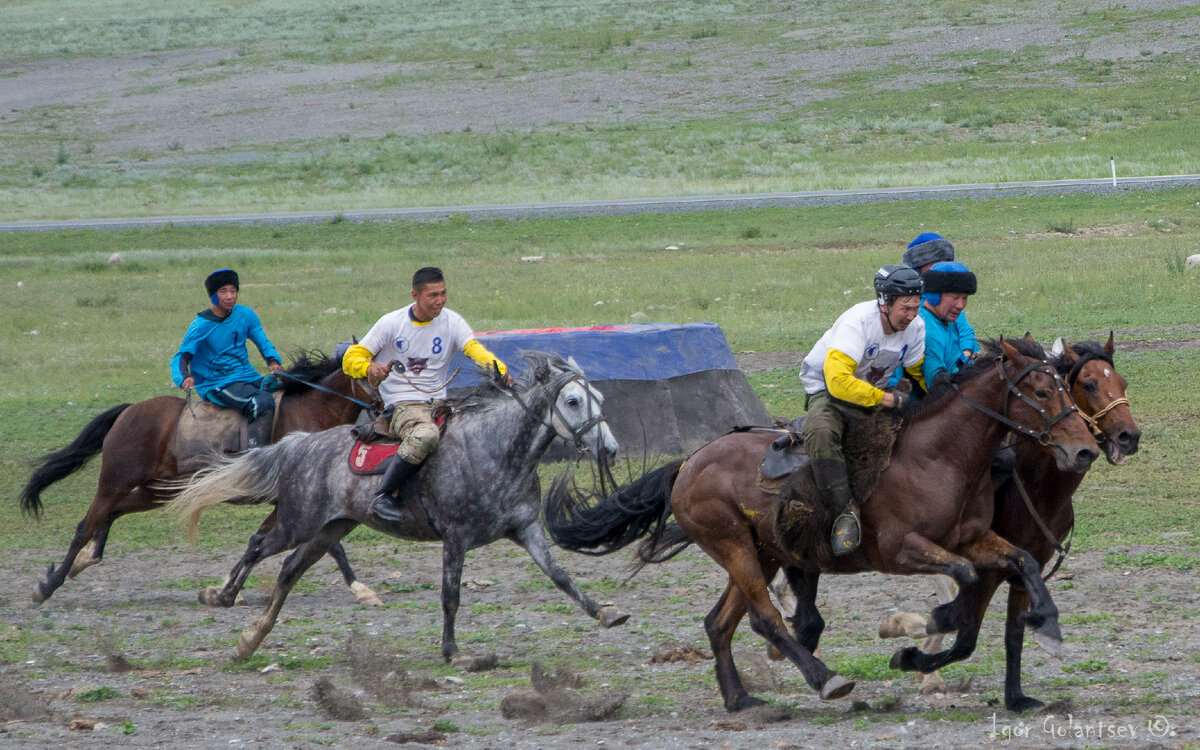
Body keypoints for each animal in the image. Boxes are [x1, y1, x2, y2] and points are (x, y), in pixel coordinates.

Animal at [19, 352, 382, 606]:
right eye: (372, 375)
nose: (383, 408)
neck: (311, 413)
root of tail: (130, 410)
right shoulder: (299, 501)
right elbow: (330, 546)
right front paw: (361, 589)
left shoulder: (287, 503)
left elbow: (262, 542)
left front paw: (223, 588)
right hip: (115, 480)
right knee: (86, 524)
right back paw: (49, 584)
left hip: (158, 490)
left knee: (109, 515)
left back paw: (82, 563)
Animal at [165, 352, 629, 666]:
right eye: (572, 401)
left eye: (598, 396)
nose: (609, 449)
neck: (494, 448)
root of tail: (300, 443)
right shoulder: (456, 538)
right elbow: (450, 596)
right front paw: (452, 652)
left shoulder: (527, 529)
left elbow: (561, 577)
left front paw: (605, 613)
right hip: (298, 522)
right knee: (259, 545)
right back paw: (224, 597)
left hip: (332, 528)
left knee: (289, 570)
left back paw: (253, 637)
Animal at [545, 338, 1100, 711]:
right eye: (1038, 391)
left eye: (1065, 387)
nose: (1084, 448)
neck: (939, 457)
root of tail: (688, 463)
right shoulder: (901, 550)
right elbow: (963, 579)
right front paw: (929, 625)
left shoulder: (974, 538)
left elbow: (1021, 562)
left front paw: (1047, 623)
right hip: (733, 545)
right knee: (765, 618)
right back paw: (824, 678)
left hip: (762, 552)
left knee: (720, 622)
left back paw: (740, 700)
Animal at [876, 334, 1140, 710]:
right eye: (1088, 384)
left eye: (1122, 383)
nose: (1129, 436)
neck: (1034, 484)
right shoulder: (986, 570)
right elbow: (966, 639)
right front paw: (912, 658)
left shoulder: (1026, 569)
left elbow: (1012, 634)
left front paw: (1015, 697)